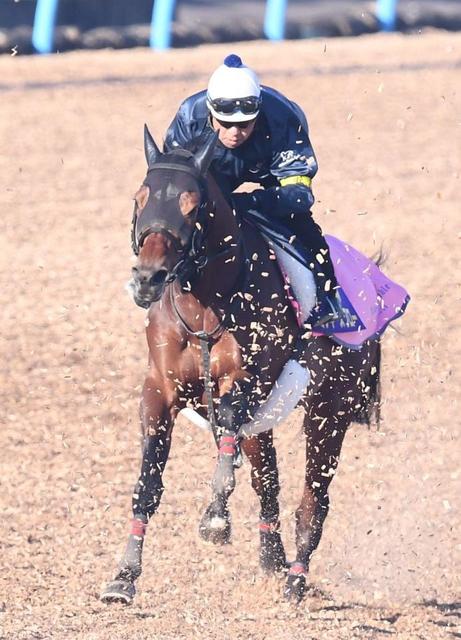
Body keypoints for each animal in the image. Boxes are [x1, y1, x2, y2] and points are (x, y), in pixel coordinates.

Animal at [100, 126, 381, 604]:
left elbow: (227, 441)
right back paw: (272, 558)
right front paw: (125, 575)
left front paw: (215, 518)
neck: (205, 305)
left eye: (193, 205)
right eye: (140, 197)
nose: (147, 279)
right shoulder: (160, 390)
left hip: (329, 413)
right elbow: (148, 485)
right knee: (268, 481)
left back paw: (295, 581)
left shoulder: (249, 382)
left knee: (313, 501)